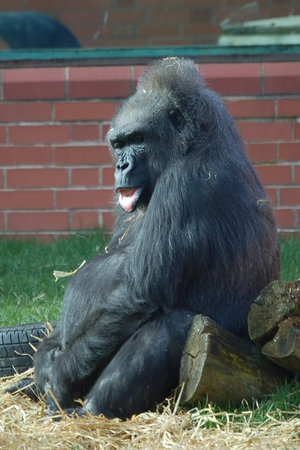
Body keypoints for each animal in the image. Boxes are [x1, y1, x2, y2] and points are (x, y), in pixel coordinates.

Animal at [32, 58, 278, 420]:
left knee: (172, 324)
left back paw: (92, 409)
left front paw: (60, 376)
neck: (198, 141)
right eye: (118, 144)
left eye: (138, 138)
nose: (121, 166)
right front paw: (45, 358)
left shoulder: (184, 184)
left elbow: (140, 292)